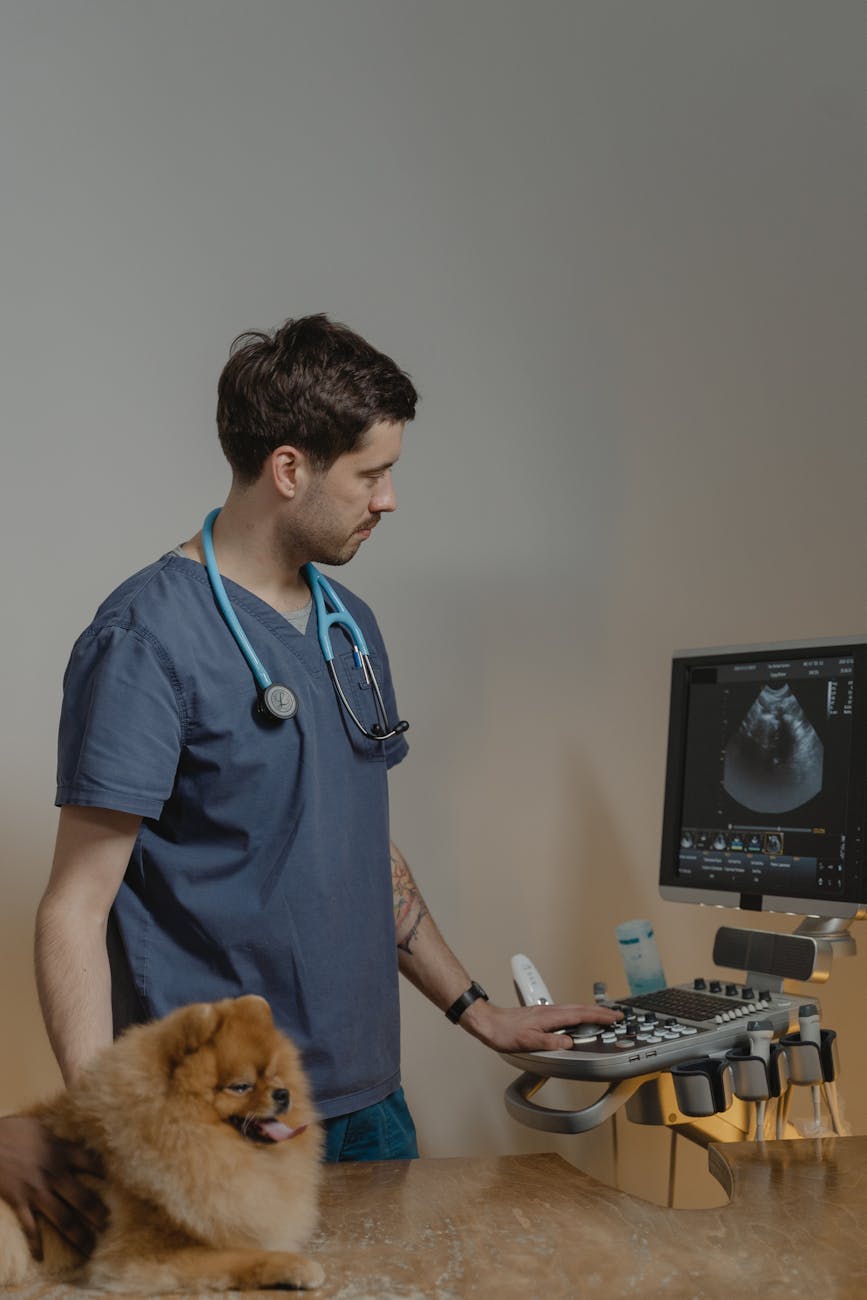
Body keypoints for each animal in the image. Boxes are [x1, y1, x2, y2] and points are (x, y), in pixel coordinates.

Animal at [0, 993, 323, 1289]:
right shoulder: (137, 1254)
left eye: (274, 1075)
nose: (283, 1094)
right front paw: (293, 1265)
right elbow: (237, 1256)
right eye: (241, 1087)